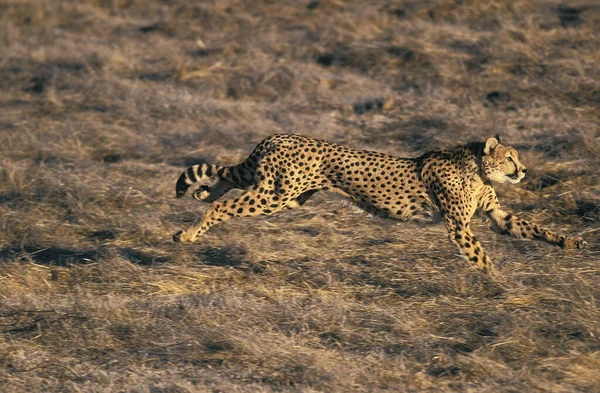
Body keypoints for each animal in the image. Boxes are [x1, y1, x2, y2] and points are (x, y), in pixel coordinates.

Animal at [172, 133, 584, 272]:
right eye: (510, 158)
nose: (524, 170)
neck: (477, 167)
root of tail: (279, 136)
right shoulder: (458, 226)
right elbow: (480, 257)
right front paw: (500, 284)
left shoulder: (495, 214)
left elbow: (532, 228)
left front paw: (571, 242)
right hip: (275, 196)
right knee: (223, 207)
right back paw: (187, 234)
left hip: (283, 195)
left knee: (227, 178)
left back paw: (201, 194)